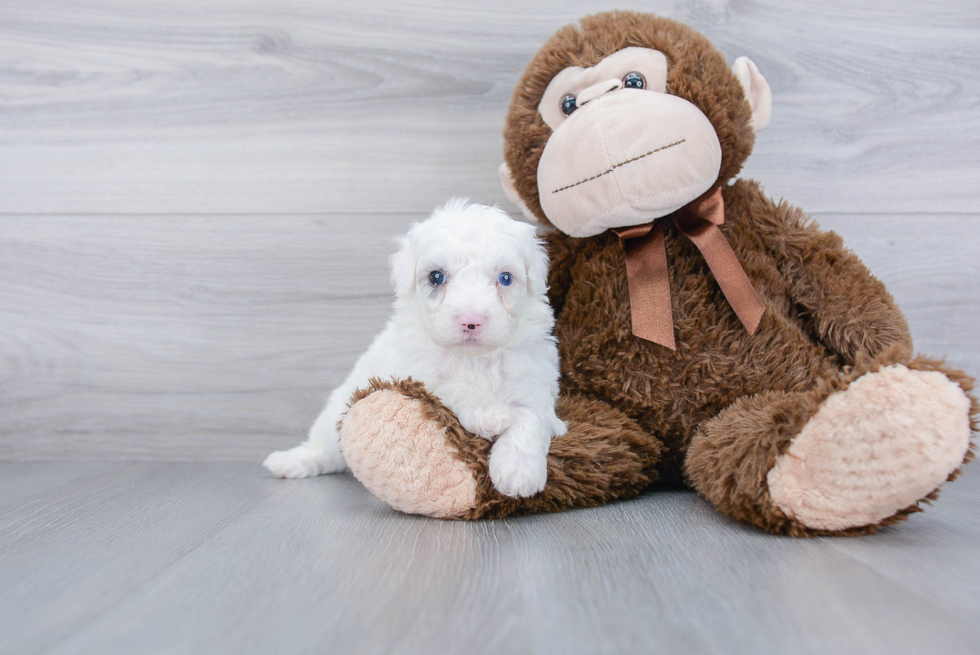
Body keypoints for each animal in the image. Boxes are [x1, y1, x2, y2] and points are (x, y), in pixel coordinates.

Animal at [264, 199, 568, 498]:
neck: (473, 359)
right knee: (323, 449)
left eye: (505, 278)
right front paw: (489, 414)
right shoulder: (415, 374)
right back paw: (289, 462)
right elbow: (452, 385)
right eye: (436, 277)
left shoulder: (534, 379)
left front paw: (518, 473)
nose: (471, 320)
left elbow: (530, 416)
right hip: (335, 413)